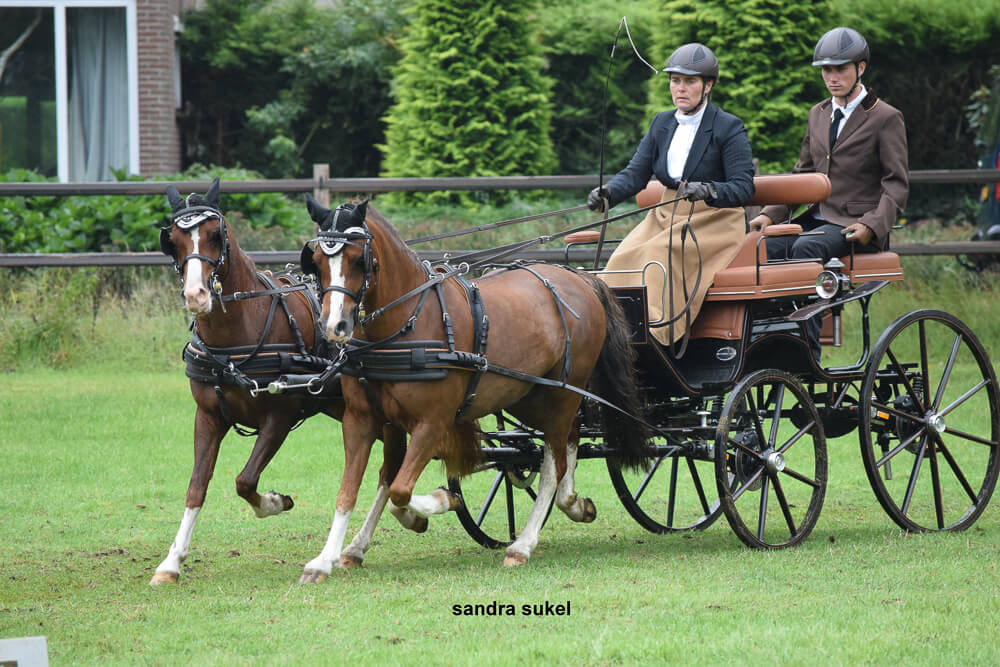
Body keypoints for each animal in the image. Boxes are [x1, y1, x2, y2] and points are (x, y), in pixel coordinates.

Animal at [151, 178, 407, 584]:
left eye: (215, 235)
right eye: (173, 240)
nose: (196, 295)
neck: (239, 335)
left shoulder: (279, 418)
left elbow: (245, 480)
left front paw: (275, 502)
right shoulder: (207, 416)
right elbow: (196, 487)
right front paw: (171, 563)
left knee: (391, 467)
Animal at [299, 196, 651, 568]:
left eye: (358, 259)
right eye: (317, 261)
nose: (334, 325)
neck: (408, 322)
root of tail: (581, 278)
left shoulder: (433, 422)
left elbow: (399, 489)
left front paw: (440, 501)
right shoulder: (365, 420)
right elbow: (359, 486)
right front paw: (329, 558)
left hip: (562, 393)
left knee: (552, 463)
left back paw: (523, 544)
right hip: (532, 396)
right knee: (568, 441)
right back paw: (573, 504)